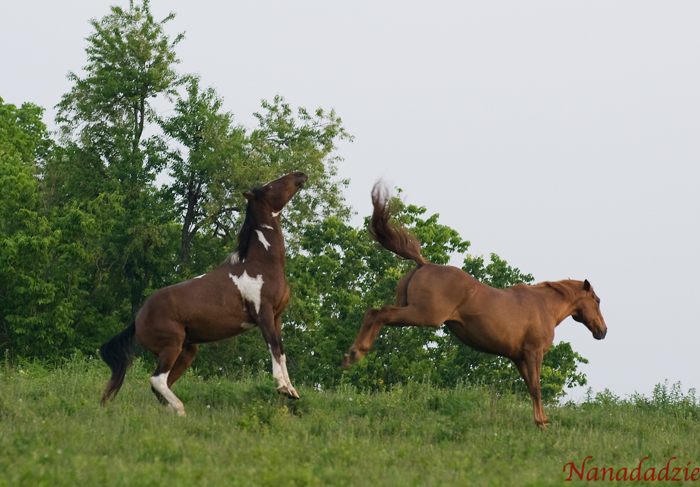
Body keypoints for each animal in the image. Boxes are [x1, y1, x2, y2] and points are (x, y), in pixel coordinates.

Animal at [99, 171, 309, 416]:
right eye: (270, 186)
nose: (300, 175)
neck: (260, 264)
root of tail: (138, 318)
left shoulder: (277, 316)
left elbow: (281, 351)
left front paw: (292, 390)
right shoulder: (262, 314)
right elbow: (273, 347)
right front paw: (282, 387)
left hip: (187, 351)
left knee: (160, 385)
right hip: (172, 347)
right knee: (157, 380)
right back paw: (180, 410)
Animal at [342, 182, 607, 429]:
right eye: (597, 300)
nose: (602, 331)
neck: (544, 306)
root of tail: (423, 264)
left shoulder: (519, 357)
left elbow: (530, 387)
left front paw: (540, 421)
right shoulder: (533, 353)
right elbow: (536, 387)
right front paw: (543, 423)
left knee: (373, 312)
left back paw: (351, 355)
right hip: (422, 315)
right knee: (380, 313)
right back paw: (355, 354)